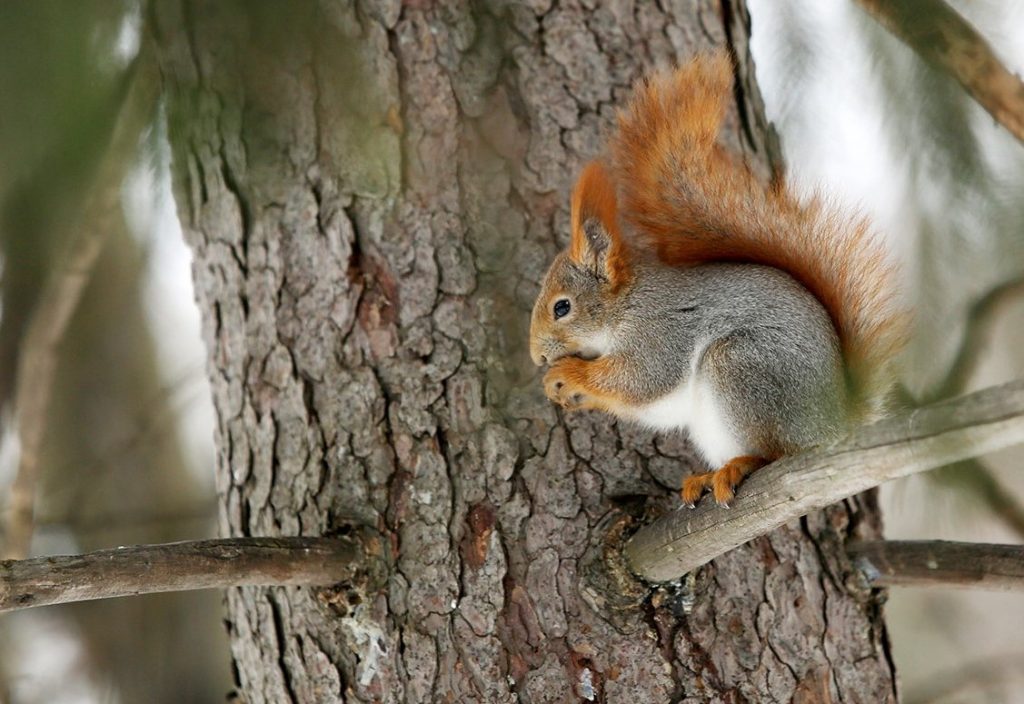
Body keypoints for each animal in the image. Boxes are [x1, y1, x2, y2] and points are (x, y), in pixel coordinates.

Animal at [528, 52, 905, 509]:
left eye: (561, 307)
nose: (537, 357)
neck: (625, 305)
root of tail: (835, 425)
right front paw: (565, 388)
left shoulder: (660, 332)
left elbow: (640, 379)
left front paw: (568, 375)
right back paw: (706, 477)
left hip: (741, 369)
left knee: (777, 451)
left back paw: (739, 466)